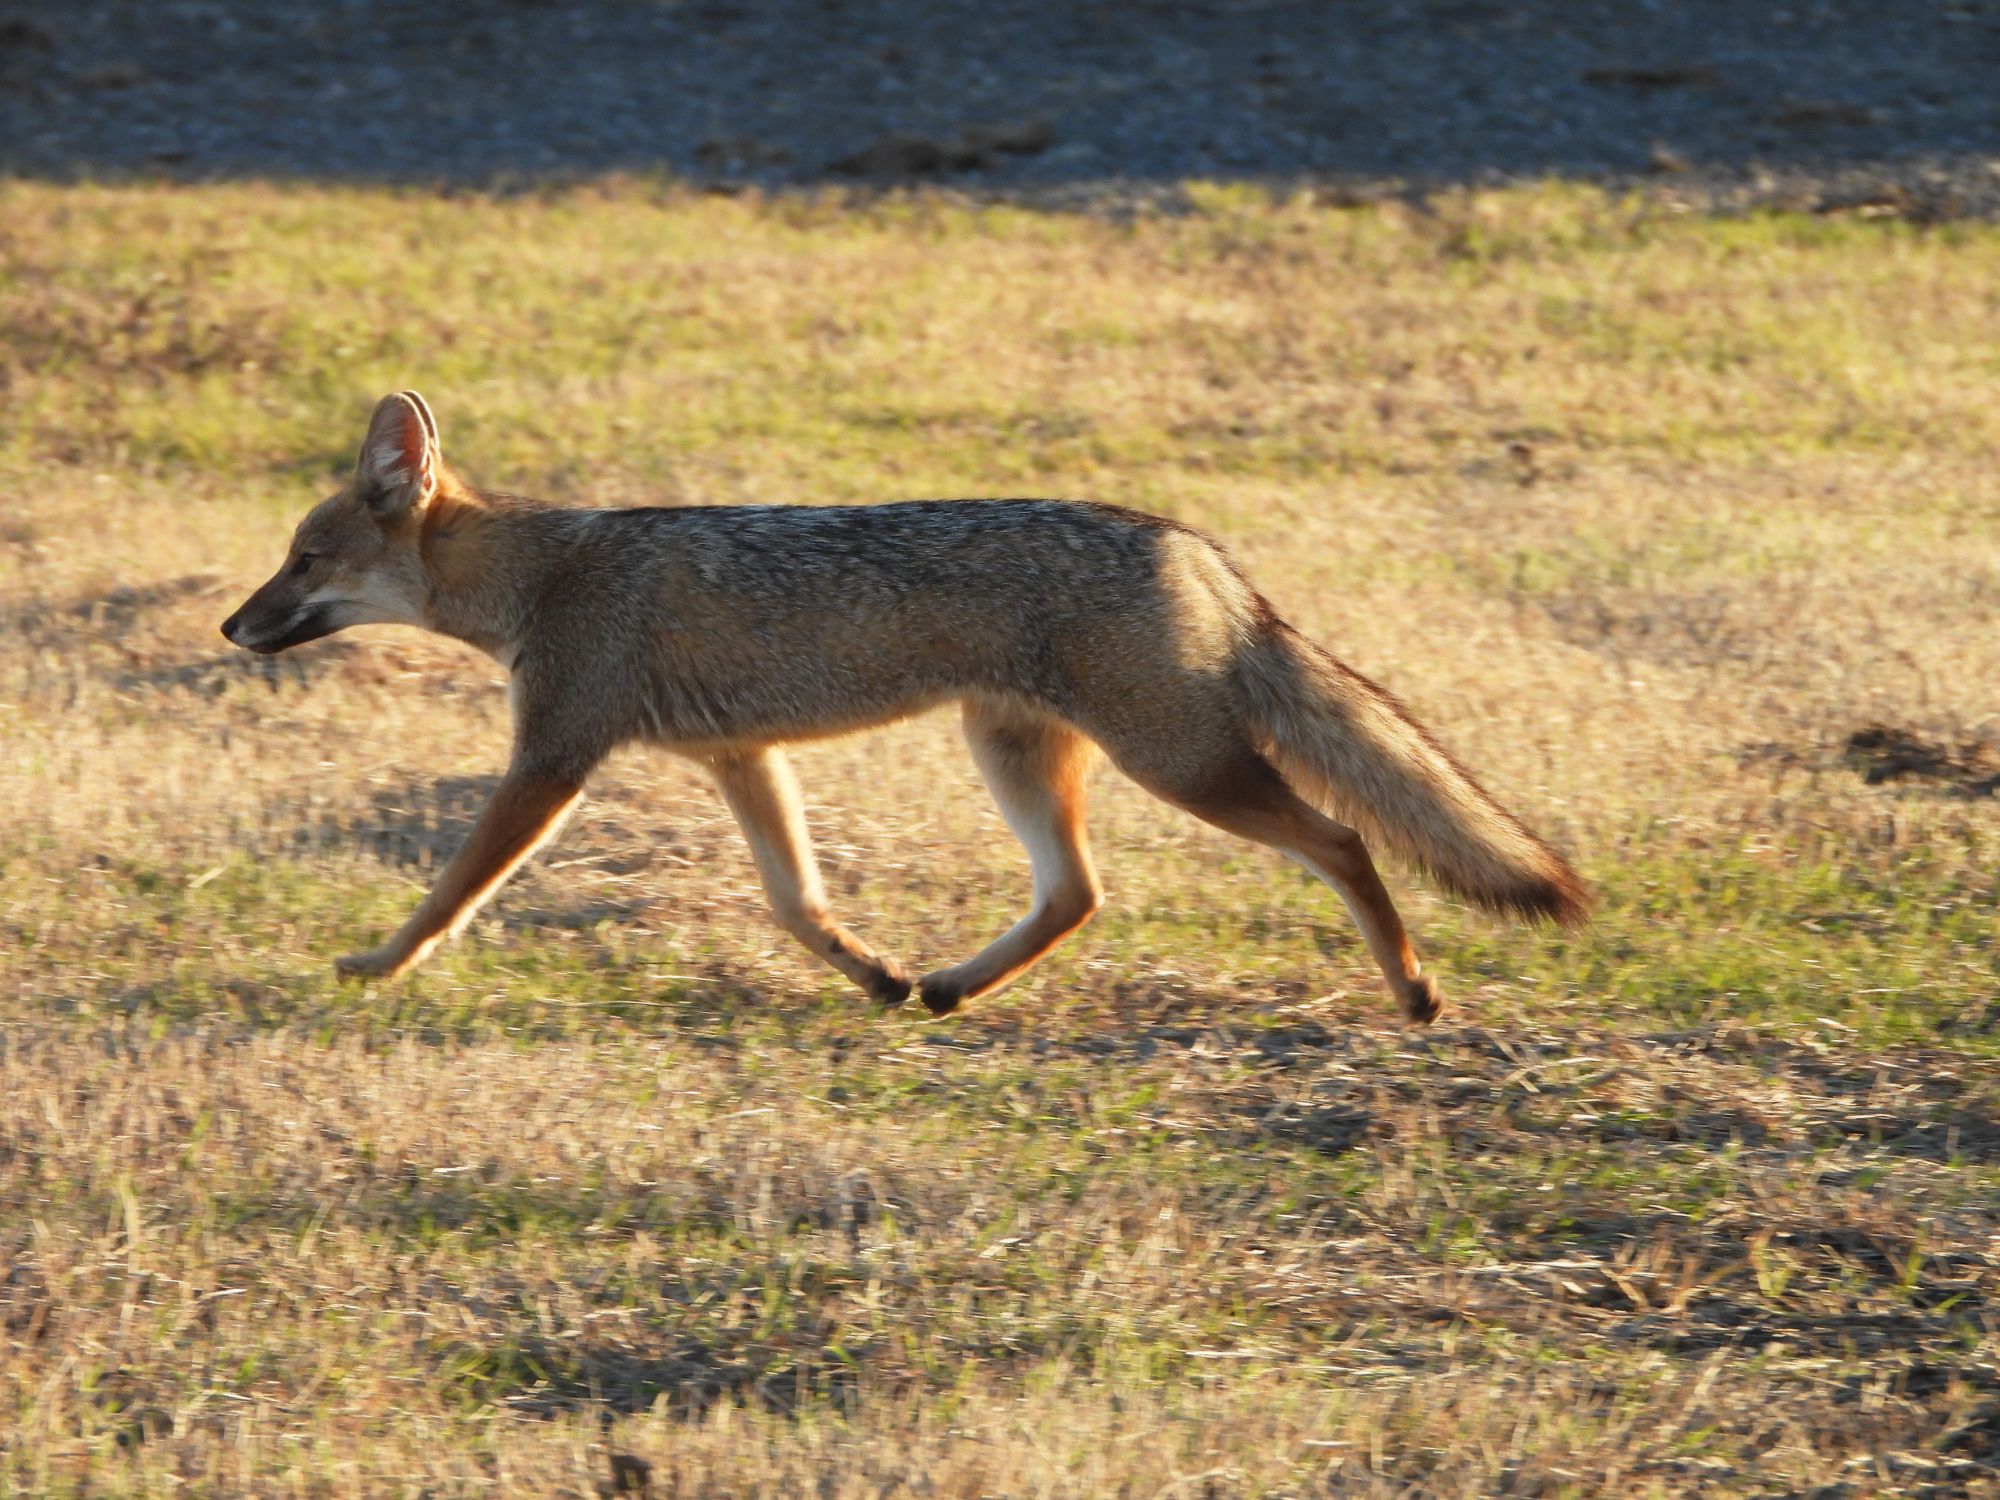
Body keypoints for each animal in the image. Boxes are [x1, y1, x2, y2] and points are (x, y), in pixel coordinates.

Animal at [221, 392, 1589, 1024]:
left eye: (300, 561)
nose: (231, 626)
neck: (545, 570)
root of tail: (1195, 546)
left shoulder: (552, 757)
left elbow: (450, 890)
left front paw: (378, 965)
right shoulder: (741, 757)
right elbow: (797, 903)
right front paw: (872, 975)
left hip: (1182, 768)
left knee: (1343, 837)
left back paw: (1412, 990)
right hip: (1018, 755)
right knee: (1076, 896)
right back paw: (946, 989)